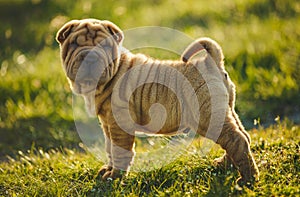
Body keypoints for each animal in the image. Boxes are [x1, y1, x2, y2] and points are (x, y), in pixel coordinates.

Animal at [55, 18, 258, 186]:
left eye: (104, 46)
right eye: (74, 44)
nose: (90, 56)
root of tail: (210, 62)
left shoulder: (119, 125)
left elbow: (120, 151)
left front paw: (115, 177)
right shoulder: (107, 124)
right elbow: (109, 148)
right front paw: (108, 170)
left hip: (208, 116)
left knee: (236, 140)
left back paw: (248, 179)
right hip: (227, 110)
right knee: (242, 136)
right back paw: (225, 165)